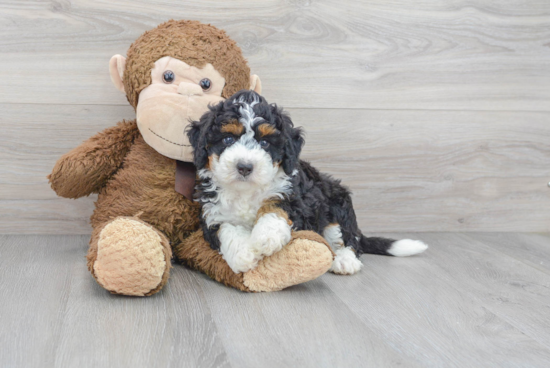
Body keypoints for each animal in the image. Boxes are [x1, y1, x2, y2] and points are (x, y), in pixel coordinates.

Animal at [188, 90, 430, 274]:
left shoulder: (297, 200)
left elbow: (276, 206)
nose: (245, 167)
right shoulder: (212, 211)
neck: (246, 191)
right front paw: (243, 254)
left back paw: (345, 260)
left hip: (336, 204)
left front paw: (266, 236)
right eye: (228, 139)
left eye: (265, 143)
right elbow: (226, 228)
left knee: (348, 238)